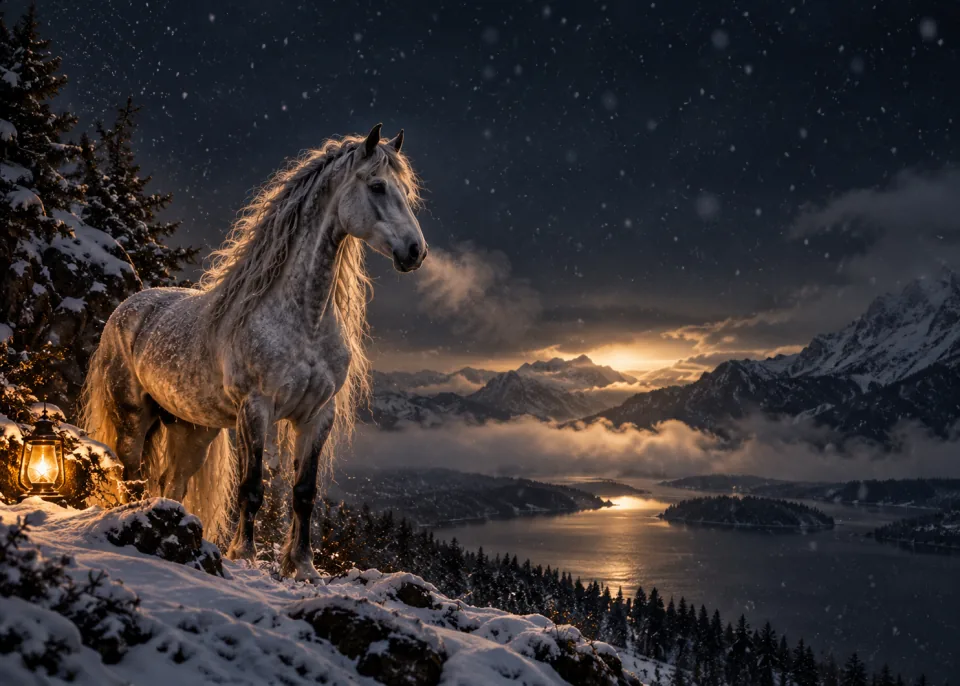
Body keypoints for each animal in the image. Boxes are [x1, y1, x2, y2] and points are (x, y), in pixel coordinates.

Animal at [81, 124, 426, 580]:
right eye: (377, 186)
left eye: (405, 190)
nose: (415, 251)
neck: (304, 319)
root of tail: (127, 308)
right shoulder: (255, 408)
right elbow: (252, 488)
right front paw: (243, 554)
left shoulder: (318, 415)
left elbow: (303, 493)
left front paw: (303, 565)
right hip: (134, 418)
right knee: (132, 473)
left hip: (191, 431)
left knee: (171, 483)